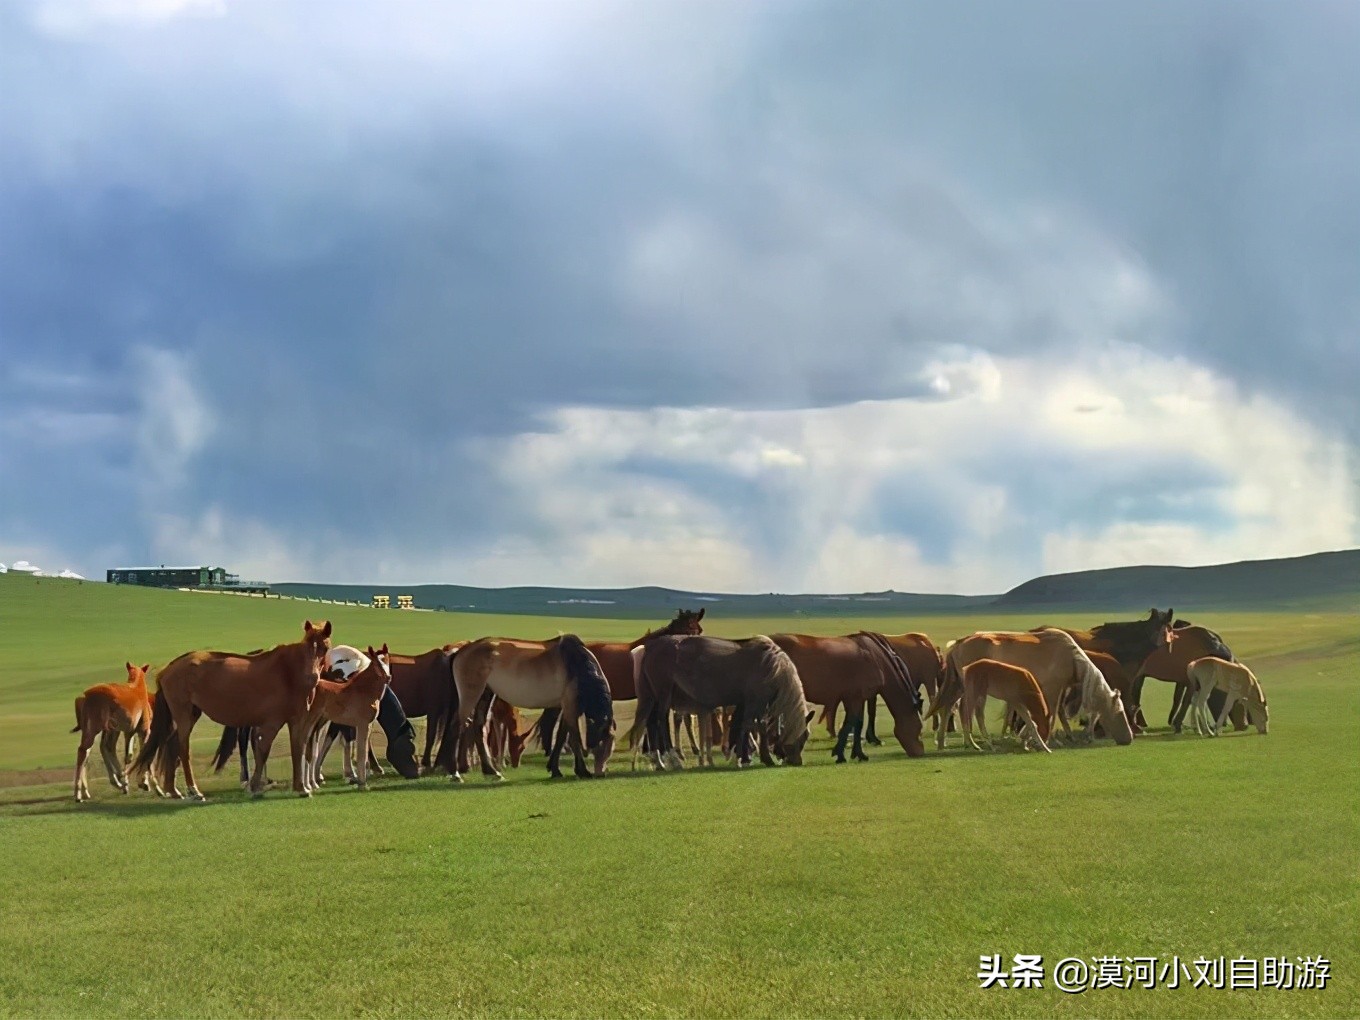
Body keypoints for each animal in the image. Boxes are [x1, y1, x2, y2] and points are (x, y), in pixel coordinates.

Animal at [131, 620, 333, 805]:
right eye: (307, 646)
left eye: (325, 647)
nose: (311, 677)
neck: (288, 672)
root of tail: (169, 668)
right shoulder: (272, 723)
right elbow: (263, 751)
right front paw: (254, 787)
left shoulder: (297, 721)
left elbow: (297, 749)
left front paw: (301, 788)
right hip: (183, 716)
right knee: (183, 749)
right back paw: (194, 791)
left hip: (191, 714)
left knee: (172, 746)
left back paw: (174, 791)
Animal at [437, 636, 614, 788]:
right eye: (602, 743)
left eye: (611, 744)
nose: (601, 773)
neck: (578, 664)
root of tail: (461, 651)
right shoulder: (571, 704)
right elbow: (574, 737)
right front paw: (582, 771)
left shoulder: (563, 707)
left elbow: (561, 738)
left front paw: (555, 769)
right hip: (471, 695)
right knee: (456, 727)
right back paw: (455, 774)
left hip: (486, 694)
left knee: (479, 728)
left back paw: (492, 772)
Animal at [631, 636, 810, 772]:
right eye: (802, 737)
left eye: (806, 736)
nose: (797, 761)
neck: (774, 667)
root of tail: (650, 647)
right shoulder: (755, 702)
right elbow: (749, 726)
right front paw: (742, 759)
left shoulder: (744, 703)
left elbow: (742, 726)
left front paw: (743, 756)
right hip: (664, 694)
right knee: (661, 721)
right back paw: (673, 760)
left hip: (653, 697)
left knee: (651, 723)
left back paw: (659, 761)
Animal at [772, 631, 930, 767]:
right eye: (919, 729)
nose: (919, 752)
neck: (877, 659)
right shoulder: (855, 698)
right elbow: (851, 724)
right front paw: (841, 755)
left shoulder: (856, 698)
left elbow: (857, 724)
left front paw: (857, 754)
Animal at [924, 631, 1136, 750]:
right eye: (1120, 712)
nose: (1129, 738)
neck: (1072, 659)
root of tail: (958, 644)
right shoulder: (1052, 689)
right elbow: (1051, 715)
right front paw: (1042, 740)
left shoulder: (1055, 691)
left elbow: (1057, 715)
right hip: (971, 688)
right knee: (962, 710)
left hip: (961, 686)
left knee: (949, 708)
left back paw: (945, 742)